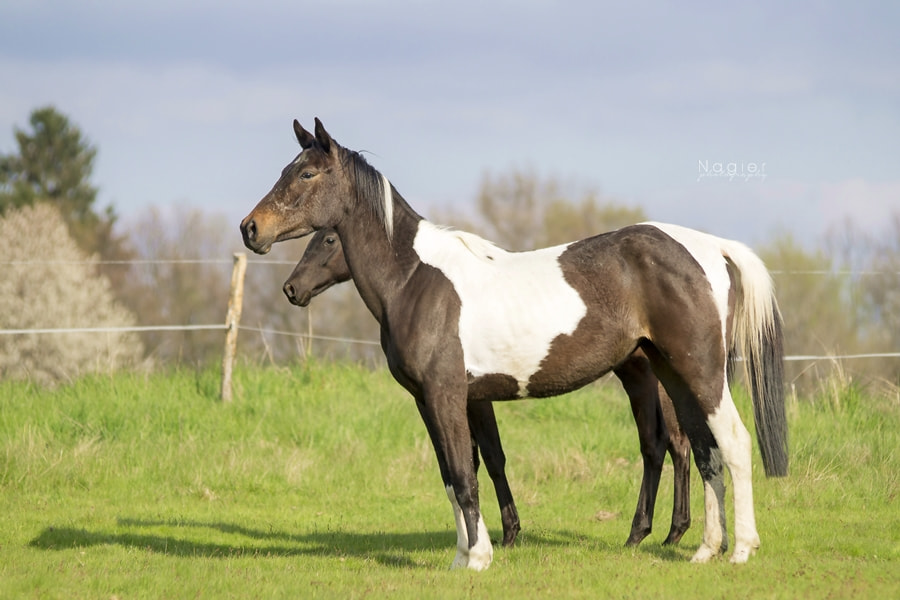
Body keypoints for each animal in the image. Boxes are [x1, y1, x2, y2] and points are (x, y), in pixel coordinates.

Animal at [284, 226, 692, 548]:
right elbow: (484, 459)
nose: (292, 288)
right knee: (659, 445)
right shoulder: (473, 400)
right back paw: (655, 533)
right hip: (638, 377)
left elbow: (484, 461)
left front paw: (501, 536)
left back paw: (667, 532)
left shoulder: (468, 399)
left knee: (673, 444)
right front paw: (500, 533)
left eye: (329, 239)